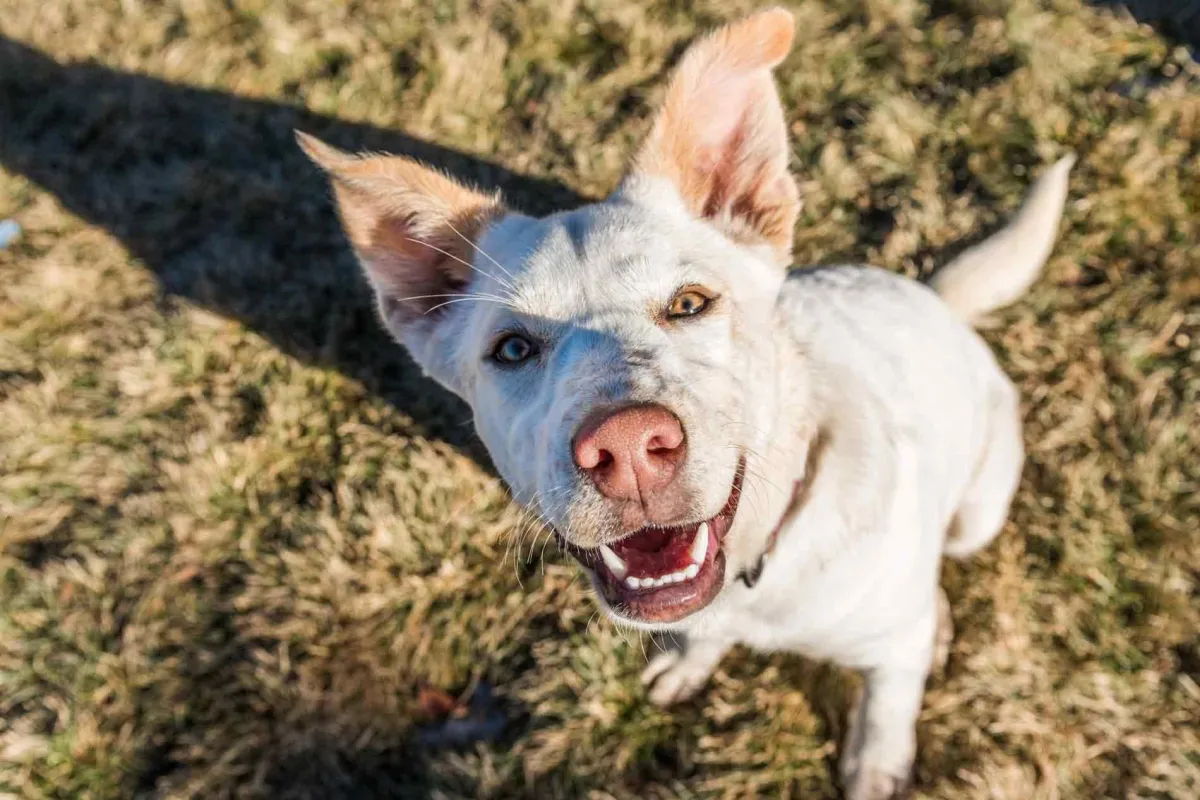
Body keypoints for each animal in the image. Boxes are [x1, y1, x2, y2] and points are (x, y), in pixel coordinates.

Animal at [295, 9, 1075, 796]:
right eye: (512, 349)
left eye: (690, 303)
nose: (628, 448)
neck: (759, 566)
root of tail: (937, 299)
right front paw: (687, 664)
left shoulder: (886, 648)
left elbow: (887, 706)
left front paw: (877, 765)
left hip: (978, 510)